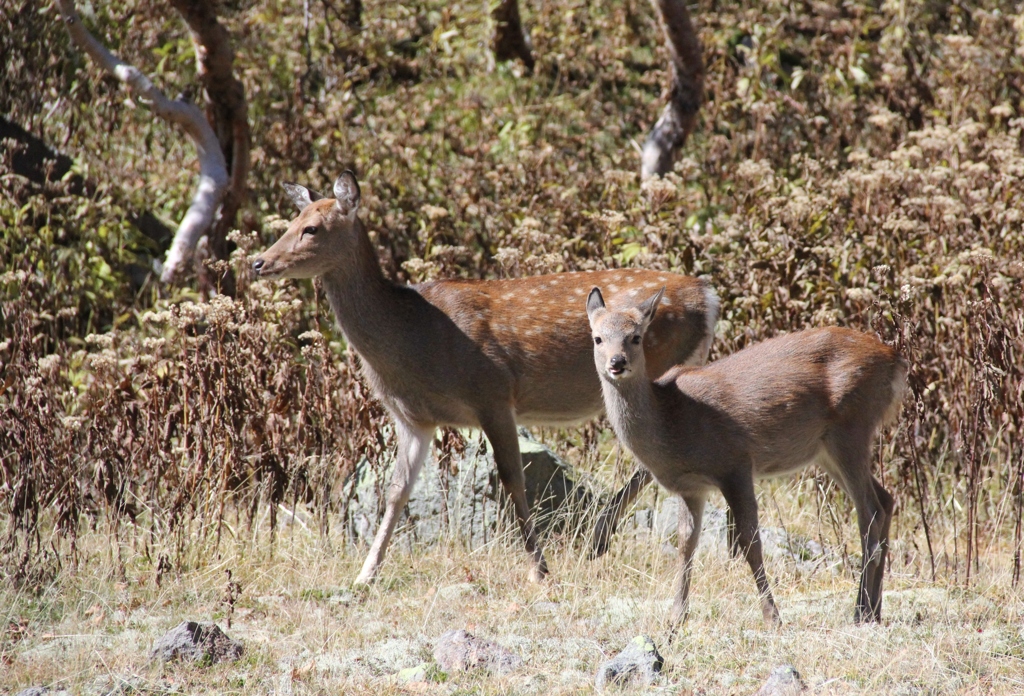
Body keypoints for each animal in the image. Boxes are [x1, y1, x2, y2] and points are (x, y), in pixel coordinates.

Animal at [249, 170, 720, 585]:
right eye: (289, 222)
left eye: (311, 228)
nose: (258, 262)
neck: (412, 339)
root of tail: (709, 295)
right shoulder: (414, 418)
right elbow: (397, 489)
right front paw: (366, 573)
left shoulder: (492, 392)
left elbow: (511, 478)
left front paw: (539, 570)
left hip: (655, 368)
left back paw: (597, 536)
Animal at [589, 286, 909, 626]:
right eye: (597, 338)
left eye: (636, 337)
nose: (617, 362)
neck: (672, 420)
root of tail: (896, 360)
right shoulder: (691, 487)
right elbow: (686, 542)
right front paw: (676, 616)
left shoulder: (736, 464)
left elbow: (749, 541)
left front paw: (772, 616)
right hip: (826, 451)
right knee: (886, 500)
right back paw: (873, 609)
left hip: (852, 427)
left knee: (870, 511)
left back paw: (860, 610)